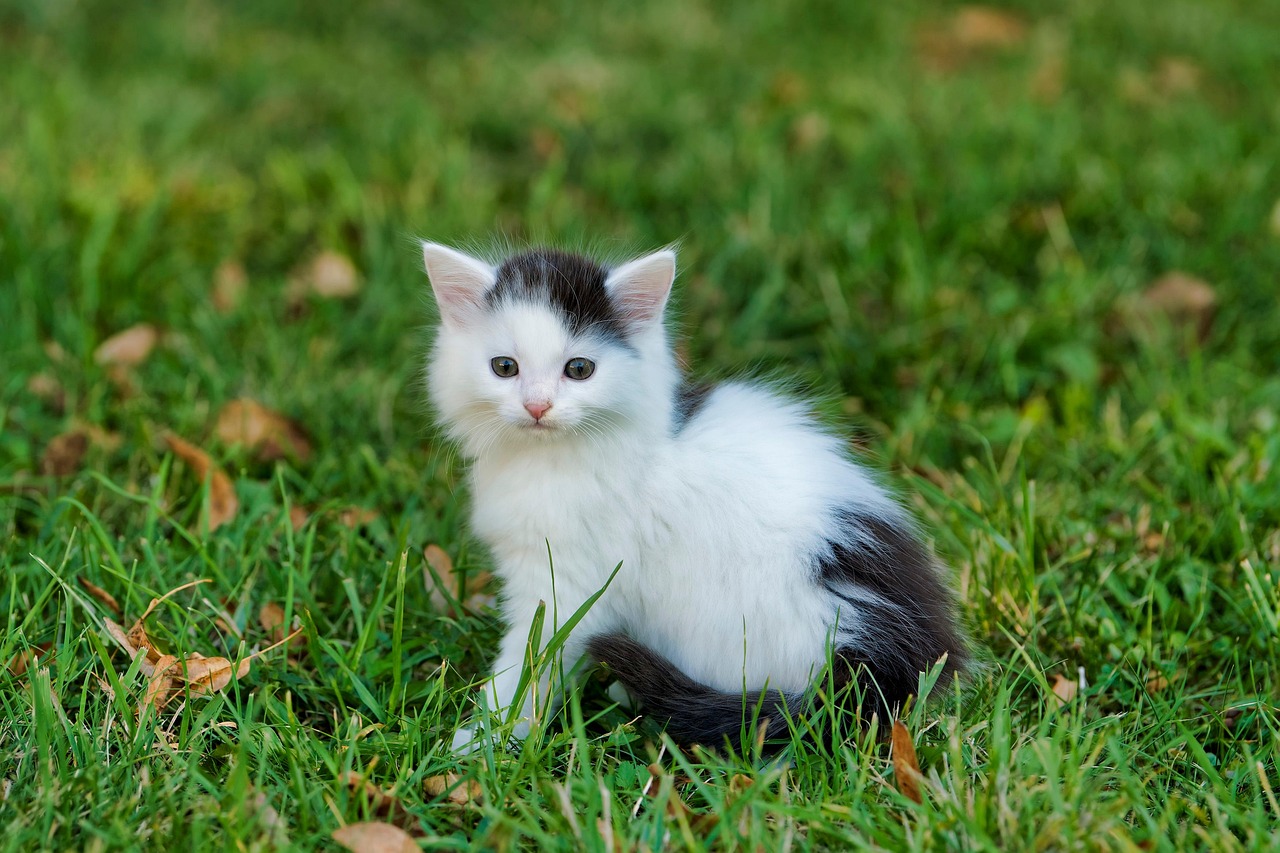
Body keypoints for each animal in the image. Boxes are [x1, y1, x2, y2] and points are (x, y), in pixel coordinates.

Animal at [422, 242, 967, 747]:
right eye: (504, 367)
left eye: (579, 369)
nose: (537, 406)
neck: (554, 459)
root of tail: (890, 656)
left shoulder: (568, 579)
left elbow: (532, 658)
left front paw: (484, 738)